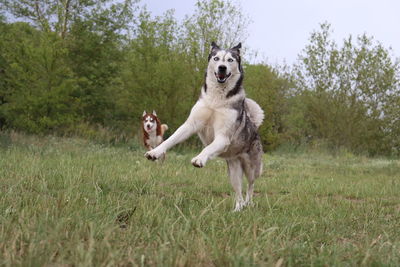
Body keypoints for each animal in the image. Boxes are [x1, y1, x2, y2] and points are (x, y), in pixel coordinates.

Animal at [145, 43, 264, 213]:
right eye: (216, 58)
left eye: (230, 60)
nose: (222, 68)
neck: (216, 99)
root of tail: (254, 127)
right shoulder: (190, 125)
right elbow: (170, 140)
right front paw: (155, 152)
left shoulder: (222, 137)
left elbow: (208, 148)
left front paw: (199, 159)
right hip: (233, 171)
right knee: (238, 191)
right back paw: (238, 209)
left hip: (252, 168)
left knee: (251, 185)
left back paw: (248, 203)